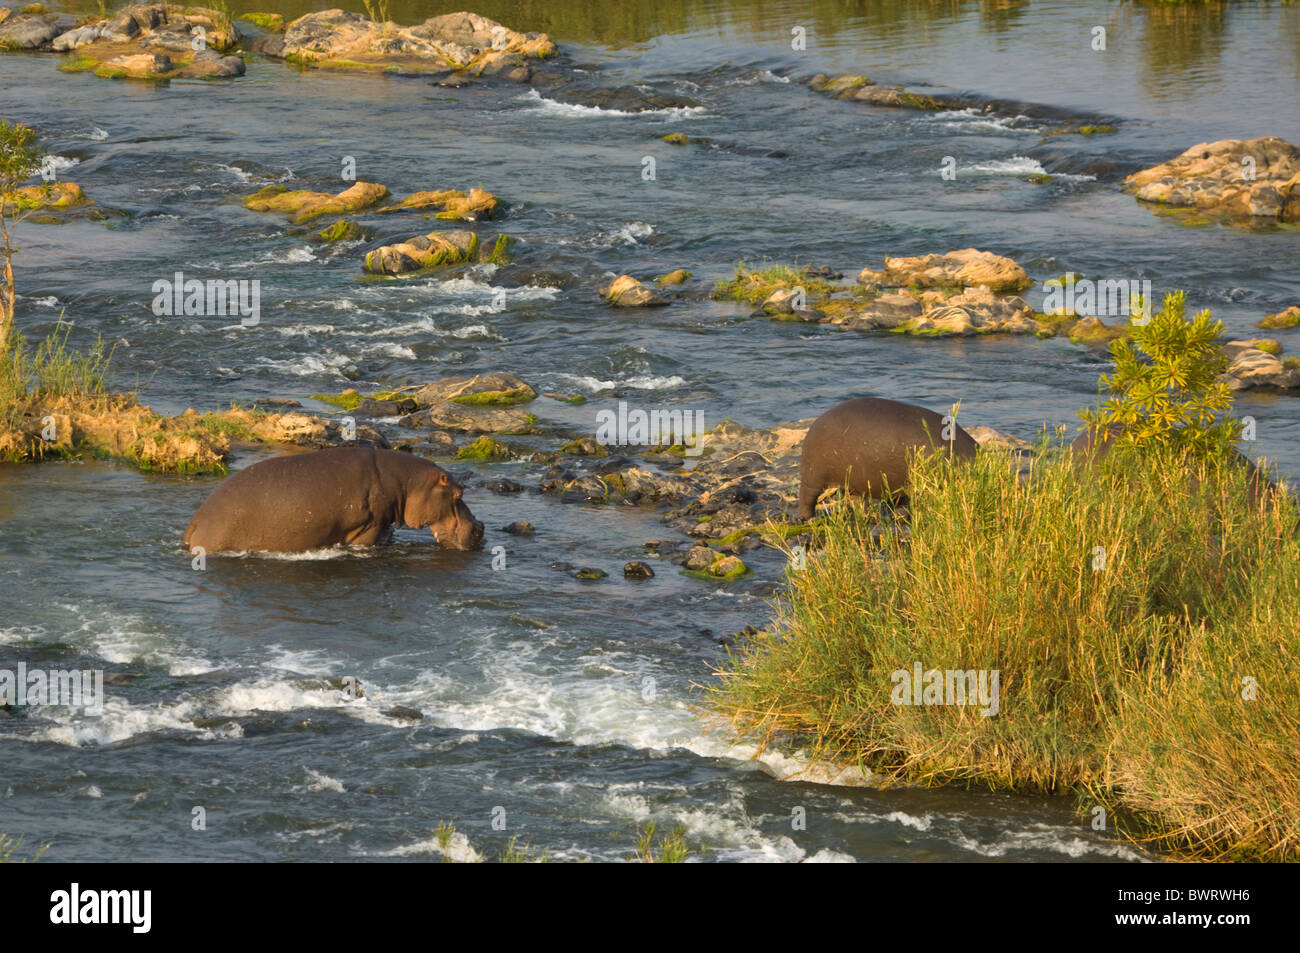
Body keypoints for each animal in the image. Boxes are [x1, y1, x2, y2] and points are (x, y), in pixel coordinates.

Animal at [797, 397, 978, 519]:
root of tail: (817, 421)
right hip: (814, 474)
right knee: (807, 497)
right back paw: (808, 518)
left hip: (853, 481)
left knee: (856, 500)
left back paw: (867, 516)